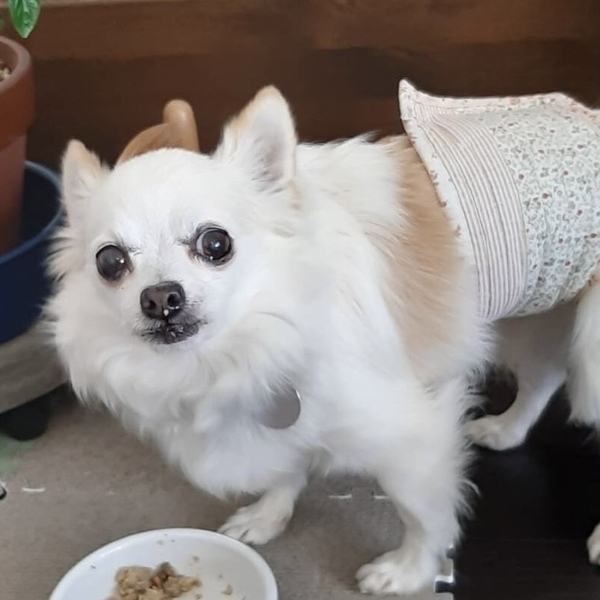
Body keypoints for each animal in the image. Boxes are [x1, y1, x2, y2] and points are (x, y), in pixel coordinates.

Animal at [47, 81, 600, 595]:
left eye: (215, 243)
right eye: (110, 261)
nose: (161, 297)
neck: (234, 353)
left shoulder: (413, 438)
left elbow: (422, 513)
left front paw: (408, 571)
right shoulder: (280, 412)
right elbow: (284, 467)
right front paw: (268, 514)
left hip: (588, 348)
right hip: (538, 310)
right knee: (545, 375)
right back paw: (506, 429)